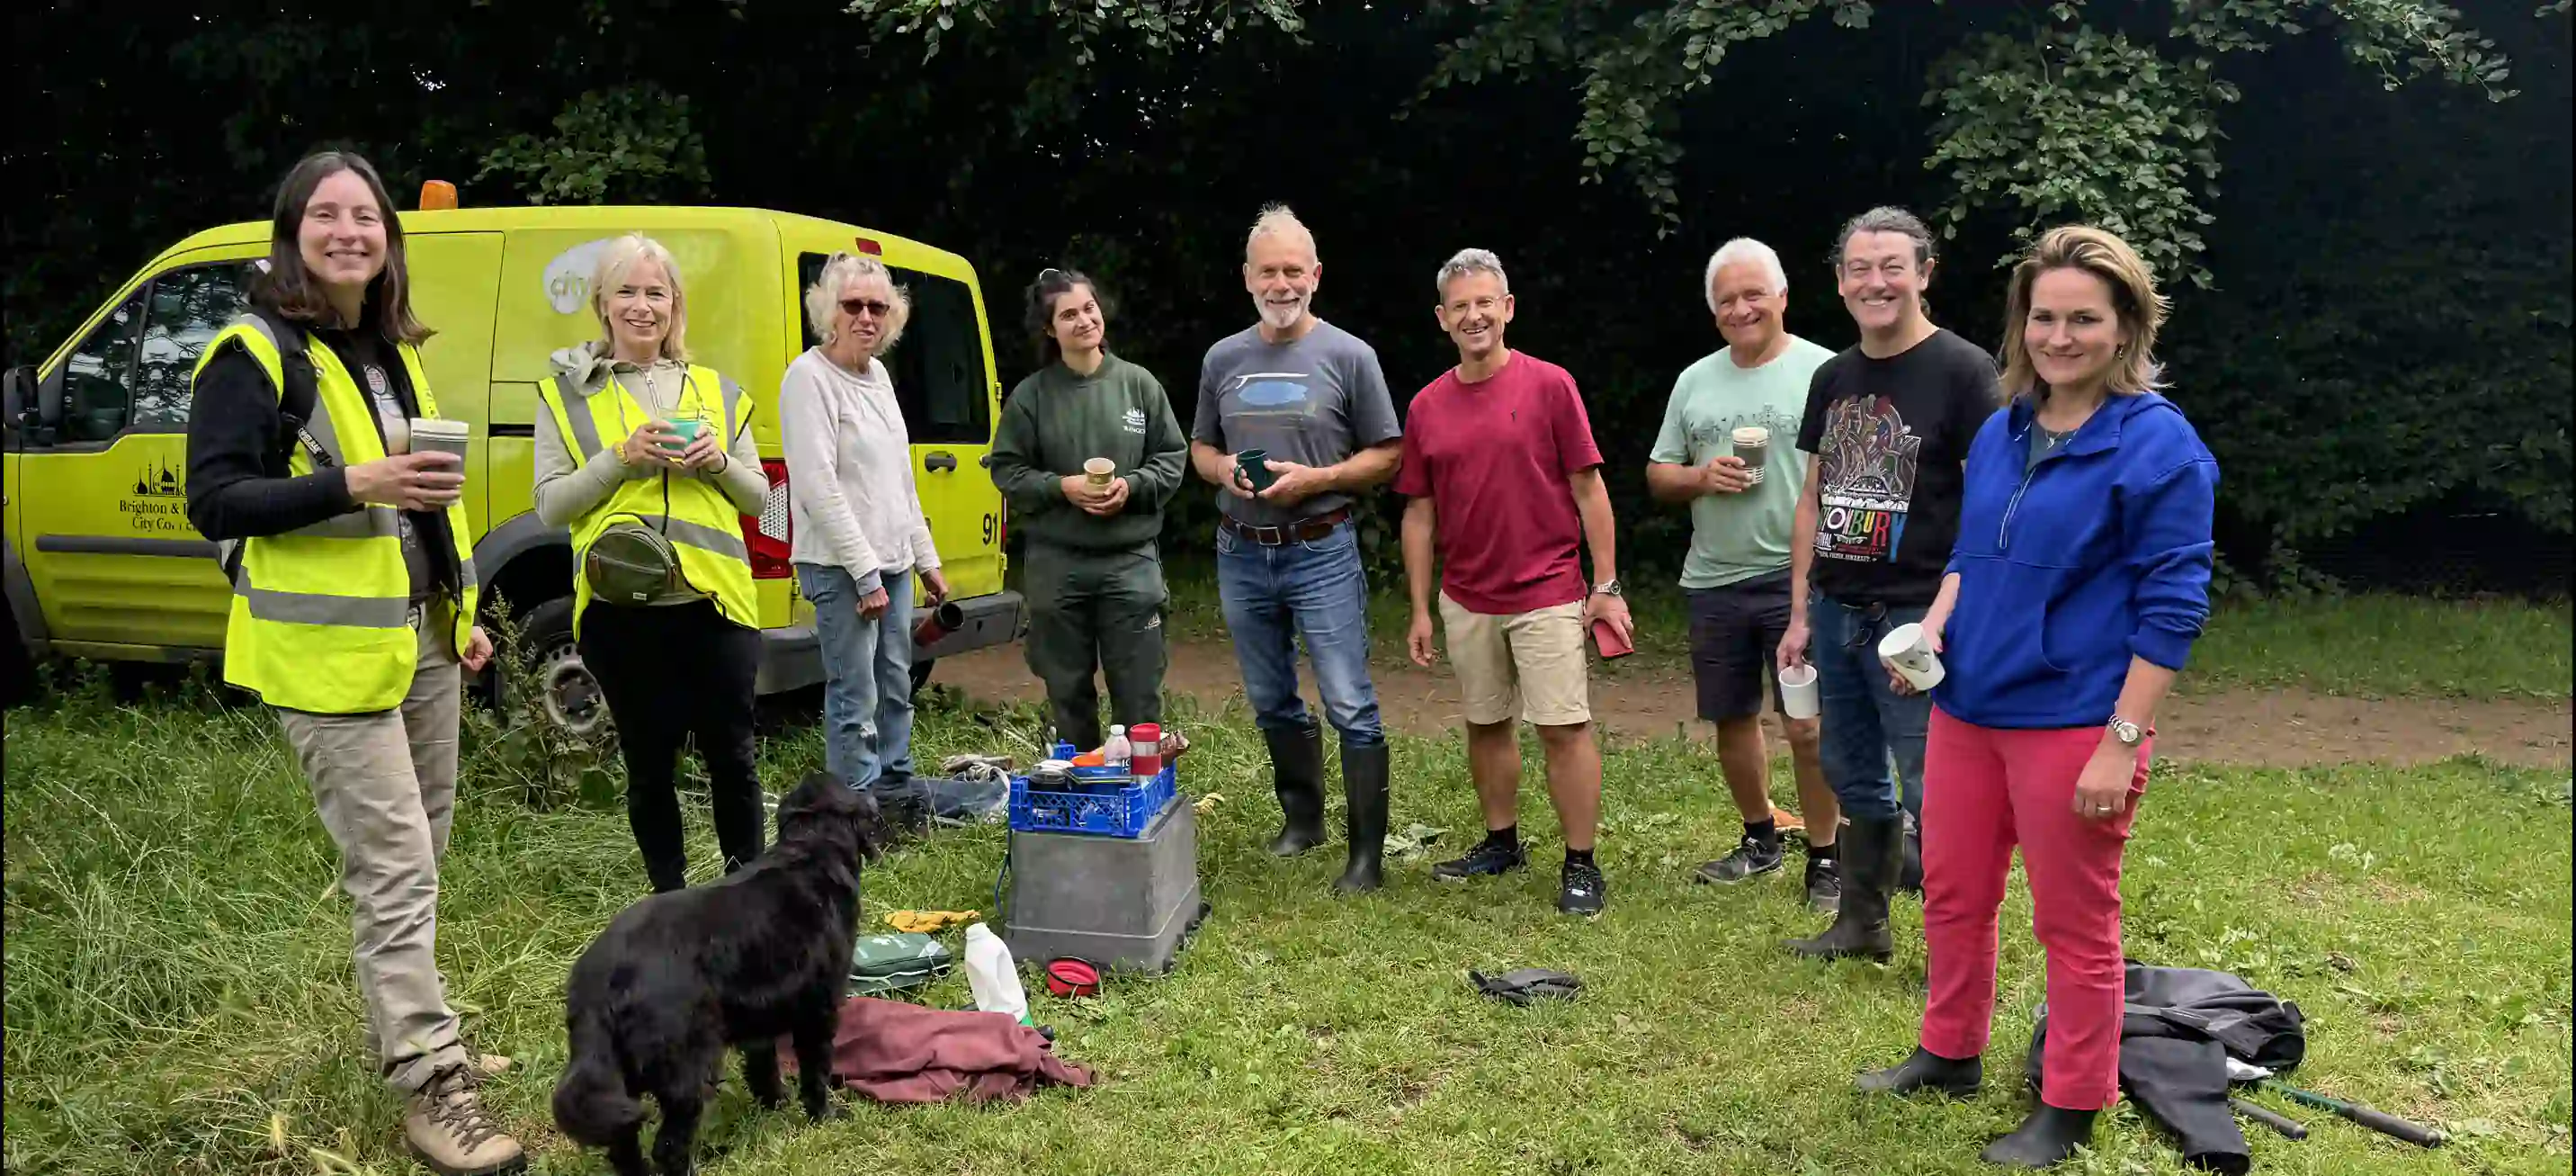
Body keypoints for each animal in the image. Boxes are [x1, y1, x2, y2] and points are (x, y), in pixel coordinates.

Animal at [549, 773, 881, 1176]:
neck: (809, 849)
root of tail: (601, 980)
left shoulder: (760, 1015)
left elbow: (764, 1066)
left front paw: (775, 1103)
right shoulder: (818, 1008)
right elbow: (815, 1072)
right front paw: (825, 1117)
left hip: (622, 1080)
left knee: (623, 1144)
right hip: (690, 1067)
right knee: (669, 1146)